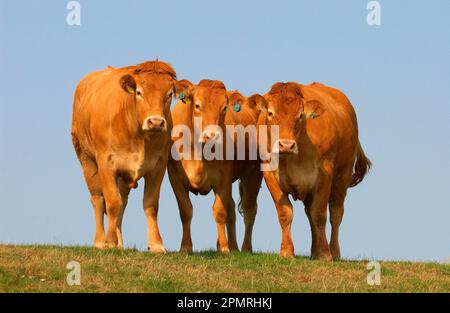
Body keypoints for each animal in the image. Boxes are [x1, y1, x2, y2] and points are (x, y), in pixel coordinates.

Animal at [71, 60, 178, 251]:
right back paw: (100, 241)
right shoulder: (106, 163)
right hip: (87, 161)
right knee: (98, 199)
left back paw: (119, 242)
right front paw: (109, 242)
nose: (156, 122)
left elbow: (150, 204)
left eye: (170, 94)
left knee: (123, 201)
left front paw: (156, 244)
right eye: (139, 92)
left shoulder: (158, 165)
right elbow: (113, 203)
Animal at [168, 79, 264, 252]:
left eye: (224, 108)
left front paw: (224, 247)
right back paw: (234, 246)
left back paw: (245, 248)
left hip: (253, 174)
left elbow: (219, 212)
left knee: (249, 209)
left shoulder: (223, 178)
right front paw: (186, 246)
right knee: (232, 208)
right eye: (197, 105)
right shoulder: (174, 176)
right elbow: (185, 210)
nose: (212, 135)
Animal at [255, 81, 370, 260]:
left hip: (342, 176)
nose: (286, 145)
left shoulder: (325, 174)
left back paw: (333, 251)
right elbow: (285, 213)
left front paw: (324, 253)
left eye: (301, 115)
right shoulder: (269, 174)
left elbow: (320, 214)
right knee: (310, 214)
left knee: (336, 213)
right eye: (270, 113)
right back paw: (314, 250)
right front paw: (286, 251)